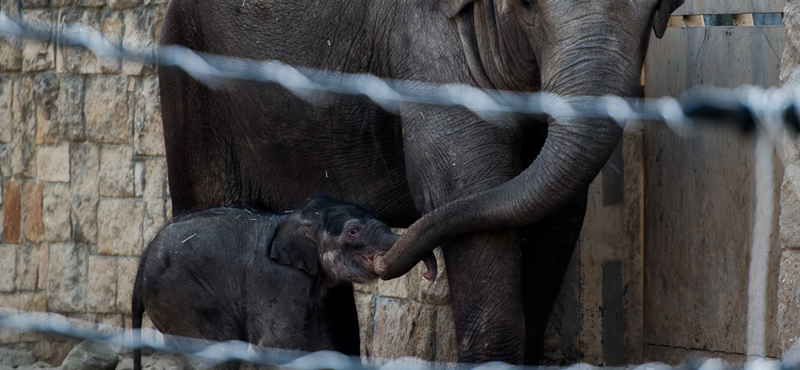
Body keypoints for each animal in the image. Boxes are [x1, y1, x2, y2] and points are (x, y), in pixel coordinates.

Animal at [130, 195, 400, 368]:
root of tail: (143, 258)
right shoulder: (276, 276)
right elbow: (277, 341)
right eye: (353, 232)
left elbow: (317, 340)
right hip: (176, 296)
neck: (297, 218)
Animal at [158, 0, 680, 364]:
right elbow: (466, 191)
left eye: (655, 10)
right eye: (528, 7)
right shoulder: (425, 43)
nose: (415, 262)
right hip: (193, 78)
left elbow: (555, 214)